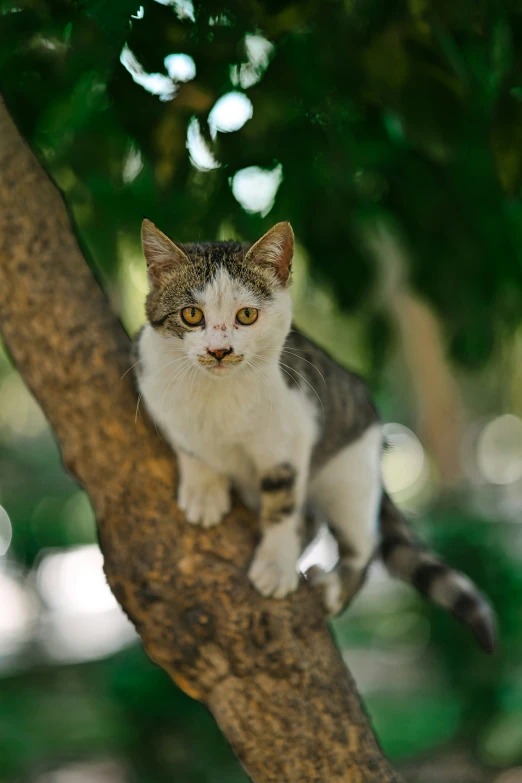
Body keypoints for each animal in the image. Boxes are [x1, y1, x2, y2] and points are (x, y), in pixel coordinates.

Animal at [132, 217, 494, 652]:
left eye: (247, 315)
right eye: (190, 315)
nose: (219, 351)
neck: (219, 397)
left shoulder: (293, 430)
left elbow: (283, 503)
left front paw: (275, 565)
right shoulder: (152, 386)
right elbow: (189, 443)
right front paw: (204, 490)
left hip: (350, 469)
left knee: (362, 542)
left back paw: (334, 588)